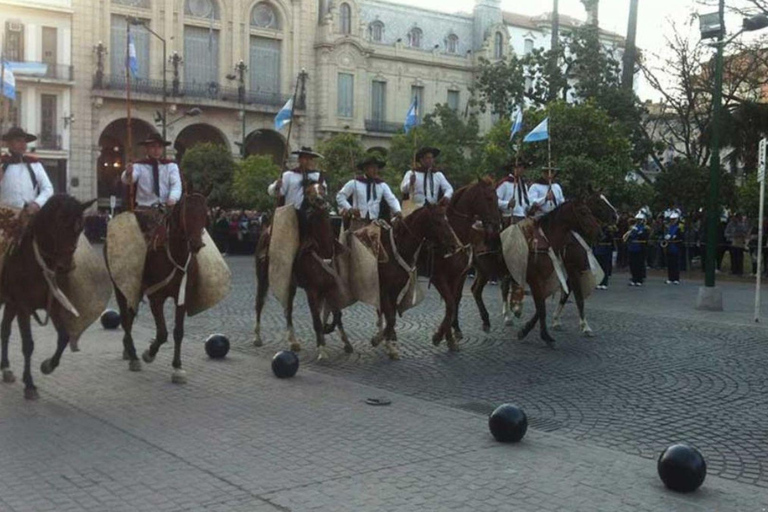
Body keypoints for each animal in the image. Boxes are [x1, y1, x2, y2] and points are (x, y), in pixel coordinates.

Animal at [0, 196, 96, 400]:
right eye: (61, 223)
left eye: (81, 228)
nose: (67, 266)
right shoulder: (23, 307)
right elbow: (28, 344)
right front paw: (29, 384)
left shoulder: (54, 305)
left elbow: (64, 337)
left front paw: (48, 366)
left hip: (10, 302)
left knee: (4, 329)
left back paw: (6, 368)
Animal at [112, 192, 208, 384]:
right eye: (186, 214)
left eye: (204, 214)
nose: (196, 244)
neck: (175, 254)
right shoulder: (156, 297)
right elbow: (163, 333)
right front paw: (149, 353)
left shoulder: (181, 296)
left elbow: (178, 332)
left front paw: (177, 367)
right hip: (121, 289)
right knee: (125, 319)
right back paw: (134, 356)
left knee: (130, 318)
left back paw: (128, 350)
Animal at [254, 184, 350, 360]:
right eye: (308, 191)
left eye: (323, 187)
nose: (319, 200)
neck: (322, 249)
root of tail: (265, 230)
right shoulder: (312, 291)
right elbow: (316, 320)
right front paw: (321, 349)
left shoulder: (331, 287)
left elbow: (337, 314)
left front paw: (343, 340)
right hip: (263, 278)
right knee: (260, 303)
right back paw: (257, 337)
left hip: (290, 284)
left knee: (288, 309)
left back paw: (293, 341)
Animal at [512, 198, 604, 346]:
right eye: (583, 212)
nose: (600, 234)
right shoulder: (570, 272)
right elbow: (576, 299)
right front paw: (584, 326)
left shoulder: (559, 275)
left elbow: (545, 302)